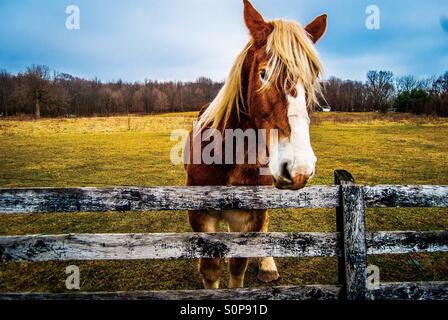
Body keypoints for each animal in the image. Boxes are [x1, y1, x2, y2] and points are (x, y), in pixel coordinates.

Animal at [184, 0, 328, 288]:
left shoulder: (249, 216)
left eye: (313, 77)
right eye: (264, 73)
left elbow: (238, 265)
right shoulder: (201, 215)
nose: (300, 168)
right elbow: (210, 268)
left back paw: (268, 265)